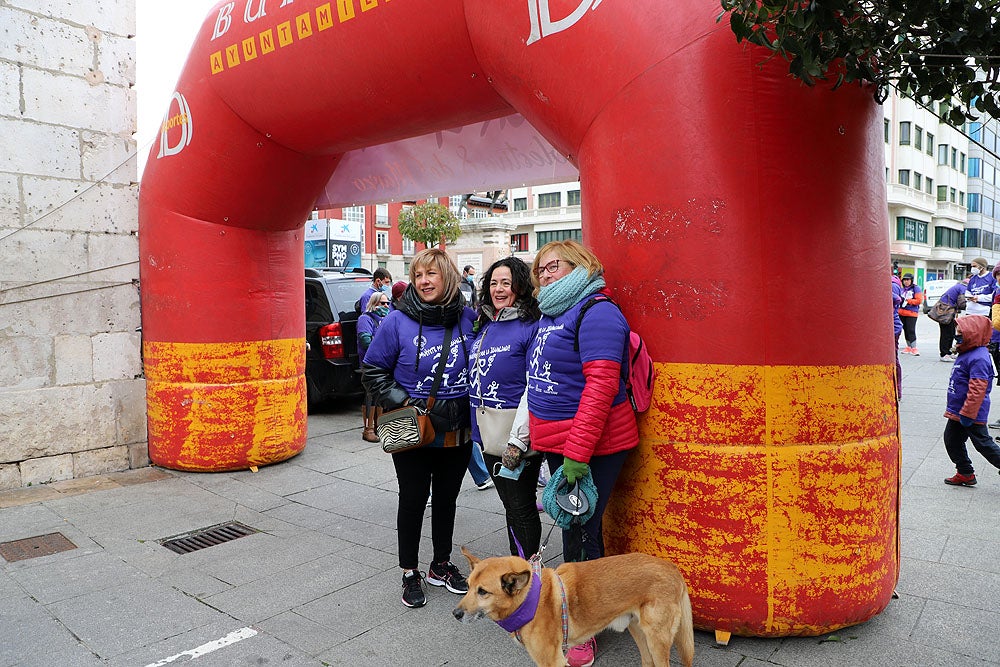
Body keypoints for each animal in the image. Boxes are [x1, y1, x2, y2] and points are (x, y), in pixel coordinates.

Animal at [456, 548, 696, 667]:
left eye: (483, 592)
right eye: (468, 586)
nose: (455, 614)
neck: (529, 600)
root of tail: (672, 568)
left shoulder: (552, 661)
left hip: (657, 640)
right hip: (638, 631)